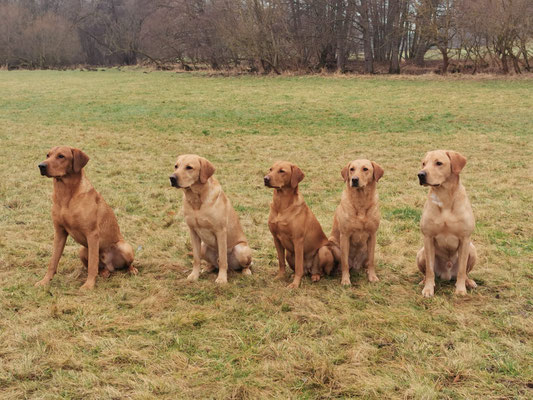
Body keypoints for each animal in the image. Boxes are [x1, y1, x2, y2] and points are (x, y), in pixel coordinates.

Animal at [35, 145, 135, 290]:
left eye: (61, 156)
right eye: (48, 155)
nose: (41, 166)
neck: (66, 196)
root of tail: (110, 266)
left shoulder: (92, 234)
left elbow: (93, 264)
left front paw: (88, 286)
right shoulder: (59, 232)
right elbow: (53, 261)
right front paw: (45, 281)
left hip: (125, 247)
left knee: (125, 264)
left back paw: (131, 270)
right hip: (82, 250)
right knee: (99, 267)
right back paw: (104, 272)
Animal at [170, 154, 254, 284]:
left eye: (189, 167)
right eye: (176, 166)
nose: (172, 178)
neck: (196, 200)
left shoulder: (220, 231)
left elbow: (223, 260)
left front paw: (222, 279)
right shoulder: (193, 231)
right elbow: (196, 259)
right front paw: (194, 275)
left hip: (241, 249)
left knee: (244, 264)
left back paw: (246, 271)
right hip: (204, 247)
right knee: (214, 264)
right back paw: (208, 267)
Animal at [264, 161, 334, 290]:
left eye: (282, 171)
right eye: (270, 169)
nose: (265, 179)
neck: (282, 205)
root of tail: (309, 269)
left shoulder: (298, 240)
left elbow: (298, 266)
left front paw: (295, 284)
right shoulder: (276, 239)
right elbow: (281, 262)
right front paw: (280, 277)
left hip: (323, 251)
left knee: (318, 271)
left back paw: (315, 276)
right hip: (289, 254)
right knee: (303, 270)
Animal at [328, 158, 382, 286]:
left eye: (365, 169)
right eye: (351, 169)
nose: (354, 180)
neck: (361, 201)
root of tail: (356, 265)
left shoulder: (372, 235)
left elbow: (371, 260)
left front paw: (372, 276)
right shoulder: (345, 235)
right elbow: (344, 263)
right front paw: (345, 280)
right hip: (333, 244)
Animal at [418, 150, 476, 296]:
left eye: (438, 163)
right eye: (424, 163)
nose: (420, 174)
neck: (445, 198)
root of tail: (447, 274)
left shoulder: (465, 239)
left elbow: (462, 270)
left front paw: (460, 290)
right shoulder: (428, 238)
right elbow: (429, 270)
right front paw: (428, 289)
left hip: (472, 249)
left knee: (465, 272)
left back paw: (468, 282)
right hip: (421, 253)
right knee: (427, 272)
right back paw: (423, 281)